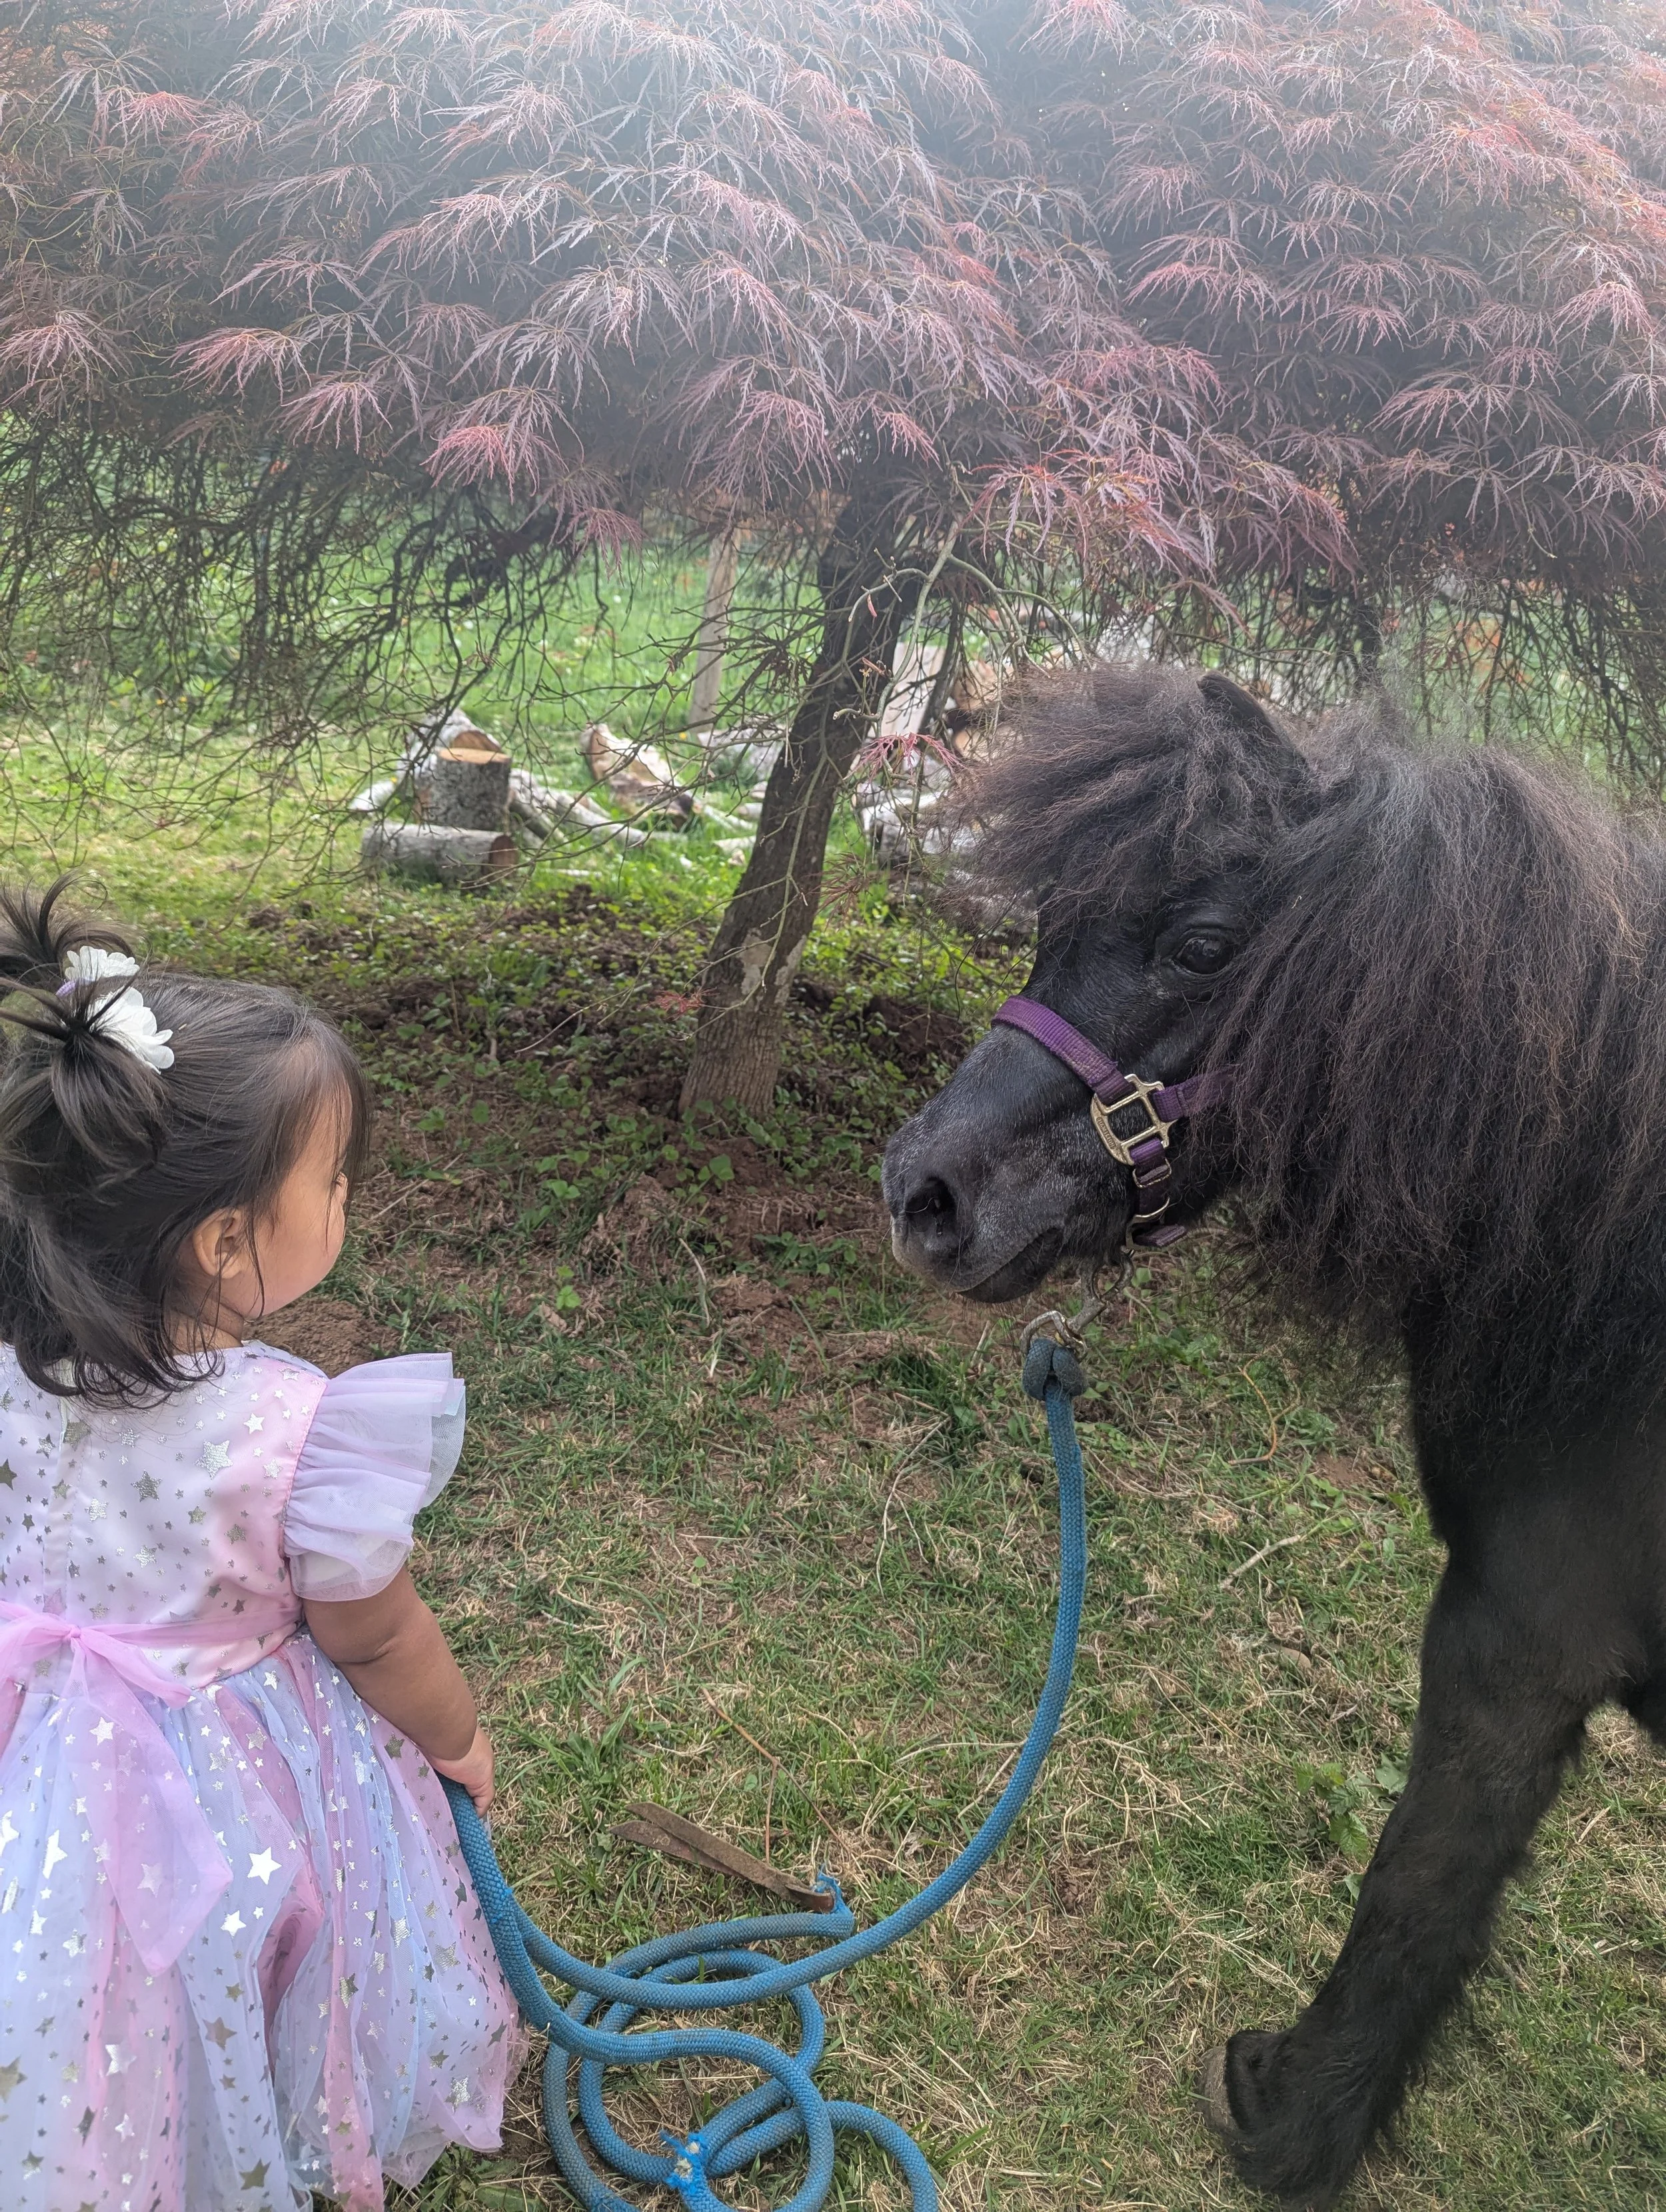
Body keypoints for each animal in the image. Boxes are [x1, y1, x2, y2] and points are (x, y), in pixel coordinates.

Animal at [880, 662, 1666, 2208]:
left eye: (1199, 944)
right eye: (1051, 927)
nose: (922, 1192)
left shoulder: (1515, 1641)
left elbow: (1419, 1880)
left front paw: (1296, 2120)